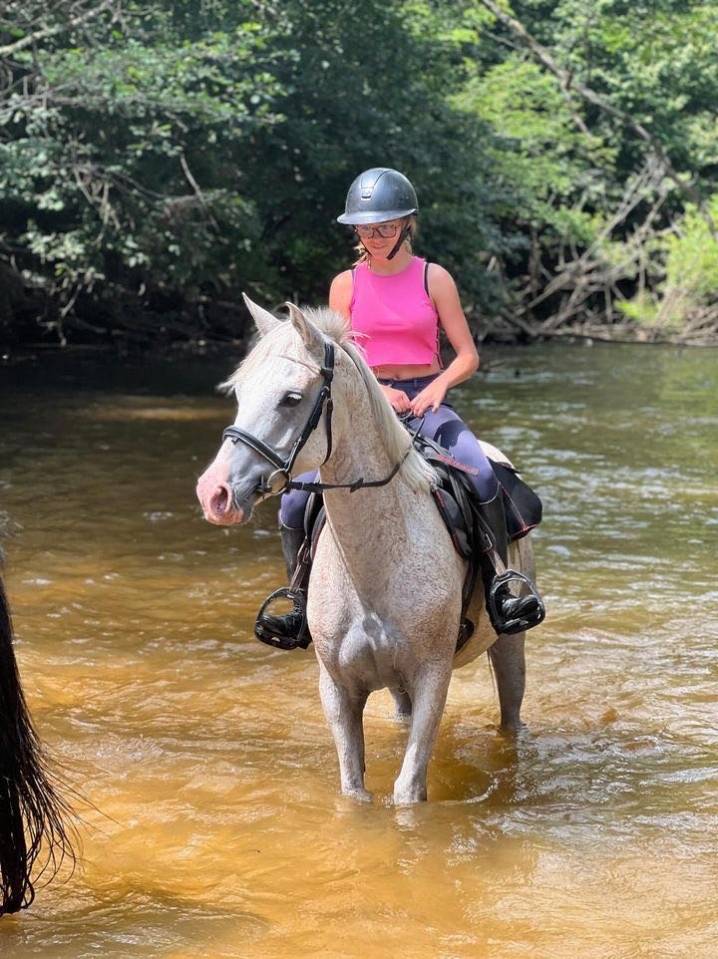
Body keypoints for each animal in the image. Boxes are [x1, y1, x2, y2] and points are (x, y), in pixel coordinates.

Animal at [196, 296, 534, 804]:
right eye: (241, 393)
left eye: (291, 398)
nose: (213, 493)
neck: (373, 568)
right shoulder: (338, 688)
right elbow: (353, 790)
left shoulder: (433, 678)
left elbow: (408, 791)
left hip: (509, 644)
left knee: (510, 717)